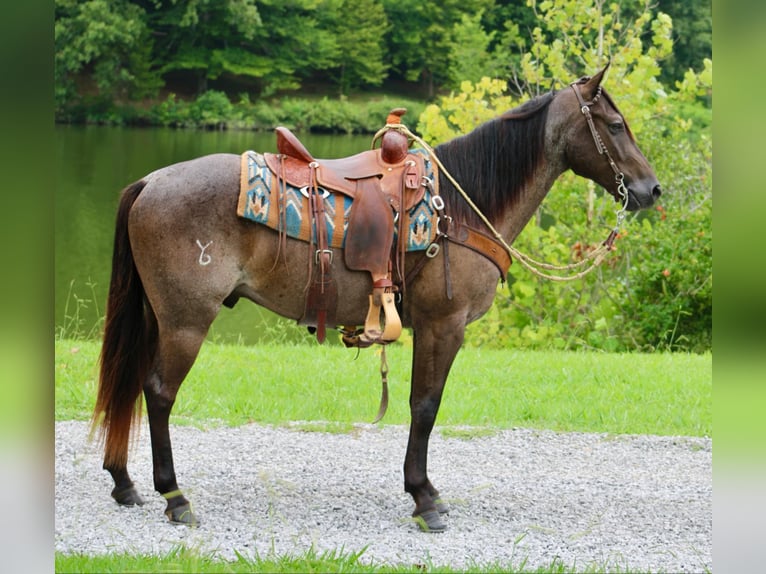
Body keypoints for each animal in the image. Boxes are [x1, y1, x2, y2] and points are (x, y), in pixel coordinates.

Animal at [93, 67, 664, 536]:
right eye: (615, 125)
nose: (651, 189)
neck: (459, 208)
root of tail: (150, 181)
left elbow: (421, 405)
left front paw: (425, 492)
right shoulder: (443, 325)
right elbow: (425, 406)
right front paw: (424, 498)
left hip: (159, 318)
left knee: (133, 382)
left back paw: (125, 482)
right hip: (186, 322)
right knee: (159, 393)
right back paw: (175, 496)